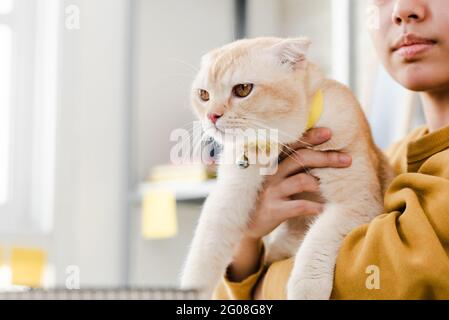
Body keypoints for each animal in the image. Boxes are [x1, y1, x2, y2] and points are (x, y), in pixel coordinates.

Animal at [178, 37, 392, 300]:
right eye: (204, 95)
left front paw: (306, 288)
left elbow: (317, 240)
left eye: (242, 89)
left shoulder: (357, 203)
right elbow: (205, 248)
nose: (212, 116)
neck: (285, 143)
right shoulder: (228, 194)